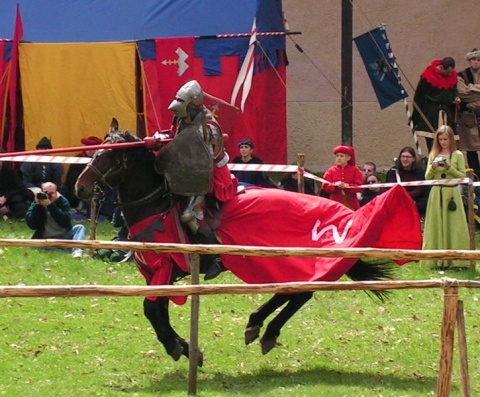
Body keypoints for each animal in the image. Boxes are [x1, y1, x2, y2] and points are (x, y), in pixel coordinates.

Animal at [73, 129, 422, 362]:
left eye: (108, 156)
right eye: (95, 153)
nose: (80, 187)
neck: (157, 206)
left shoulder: (166, 270)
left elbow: (152, 309)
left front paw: (178, 347)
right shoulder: (157, 274)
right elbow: (156, 310)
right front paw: (183, 346)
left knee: (299, 293)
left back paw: (265, 329)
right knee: (294, 292)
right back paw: (257, 325)